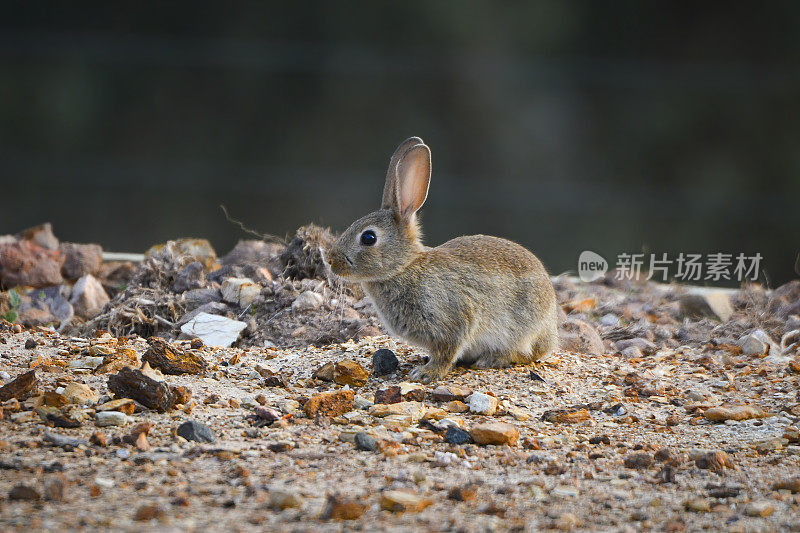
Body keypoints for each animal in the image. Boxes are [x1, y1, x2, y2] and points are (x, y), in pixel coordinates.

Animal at [324, 135, 556, 380]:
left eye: (368, 237)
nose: (331, 261)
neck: (404, 267)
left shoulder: (453, 319)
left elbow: (448, 350)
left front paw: (427, 372)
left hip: (523, 328)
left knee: (526, 353)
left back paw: (491, 359)